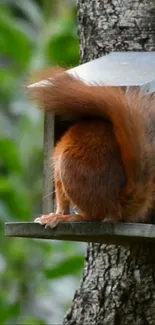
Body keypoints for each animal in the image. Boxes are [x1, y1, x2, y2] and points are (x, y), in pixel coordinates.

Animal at [27, 67, 155, 227]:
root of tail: (115, 206)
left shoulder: (57, 167)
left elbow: (61, 200)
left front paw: (55, 215)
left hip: (69, 166)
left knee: (94, 216)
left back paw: (69, 217)